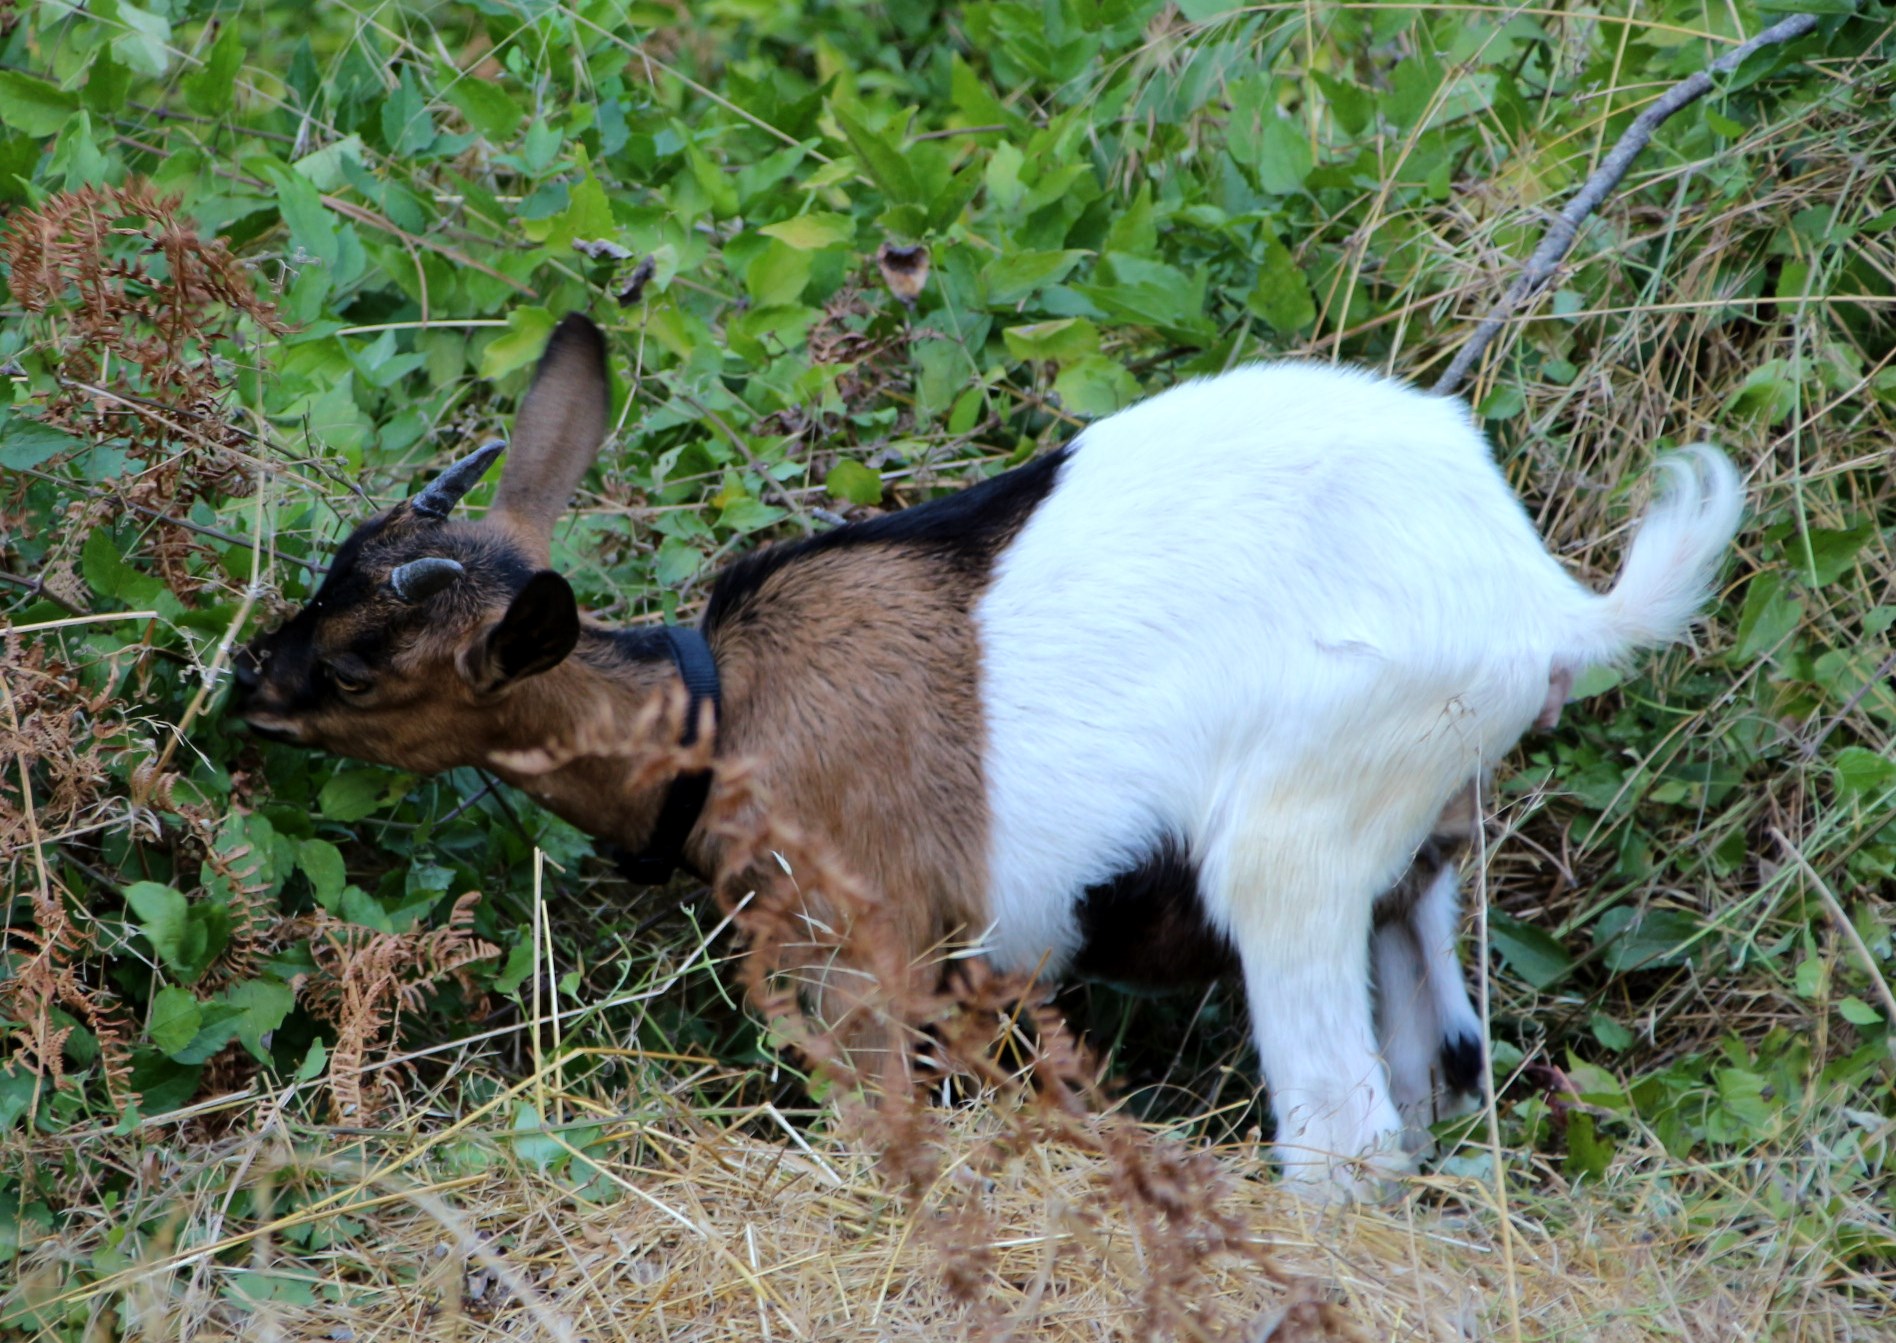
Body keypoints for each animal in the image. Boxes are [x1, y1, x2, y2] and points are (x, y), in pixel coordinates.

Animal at [230, 313, 1743, 1198]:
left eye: (361, 664)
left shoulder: (861, 955)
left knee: (1343, 1127)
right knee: (1438, 1074)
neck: (720, 723)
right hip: (1414, 857)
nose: (252, 686)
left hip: (1294, 846)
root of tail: (1539, 600)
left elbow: (882, 1130)